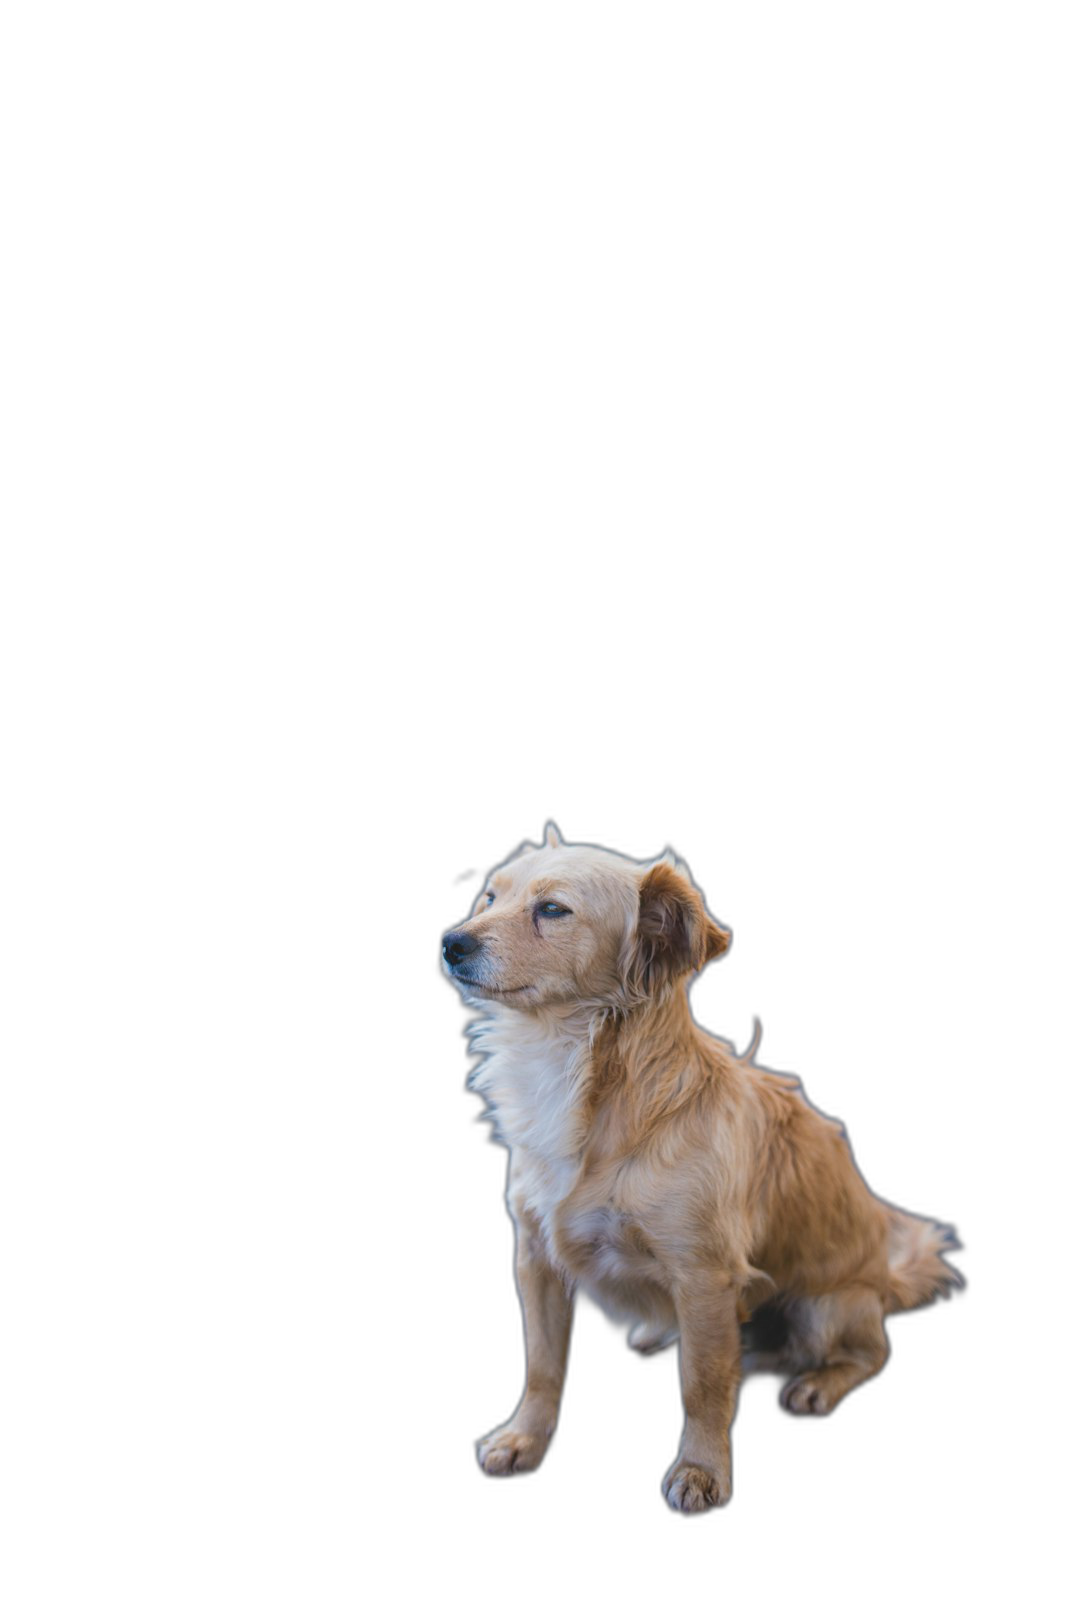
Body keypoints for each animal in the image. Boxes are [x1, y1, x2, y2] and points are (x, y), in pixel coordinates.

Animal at [443, 828, 965, 1507]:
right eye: (488, 897)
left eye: (552, 910)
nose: (452, 942)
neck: (574, 1072)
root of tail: (882, 1279)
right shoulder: (536, 1258)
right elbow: (543, 1364)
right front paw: (524, 1438)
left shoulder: (705, 1277)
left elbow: (704, 1384)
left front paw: (702, 1470)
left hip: (830, 1306)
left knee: (861, 1354)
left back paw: (819, 1382)